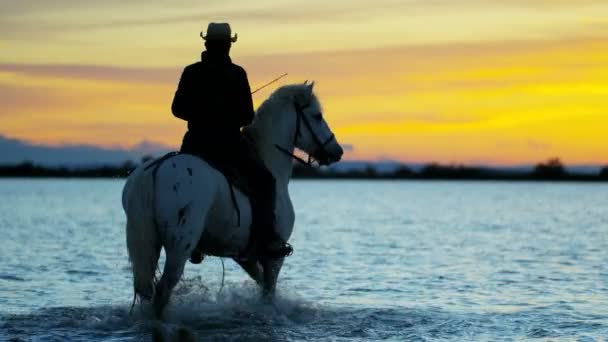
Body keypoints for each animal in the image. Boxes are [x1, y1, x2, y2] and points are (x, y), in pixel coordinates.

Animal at [121, 81, 344, 316]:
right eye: (317, 116)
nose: (337, 151)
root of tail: (155, 170)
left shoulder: (243, 254)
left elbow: (260, 282)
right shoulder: (274, 255)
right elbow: (268, 291)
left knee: (146, 292)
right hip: (179, 247)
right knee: (162, 291)